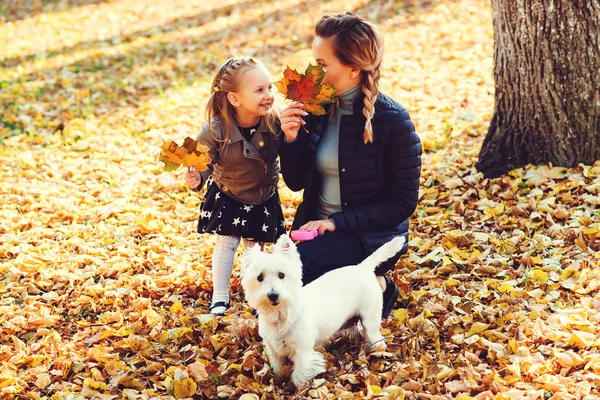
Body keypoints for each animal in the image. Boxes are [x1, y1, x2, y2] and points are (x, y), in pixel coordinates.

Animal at [241, 233, 406, 386]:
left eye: (281, 275)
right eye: (260, 278)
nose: (273, 295)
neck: (281, 316)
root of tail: (363, 267)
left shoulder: (303, 350)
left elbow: (300, 373)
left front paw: (298, 388)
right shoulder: (273, 348)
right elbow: (278, 367)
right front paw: (278, 378)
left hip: (370, 318)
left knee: (375, 336)